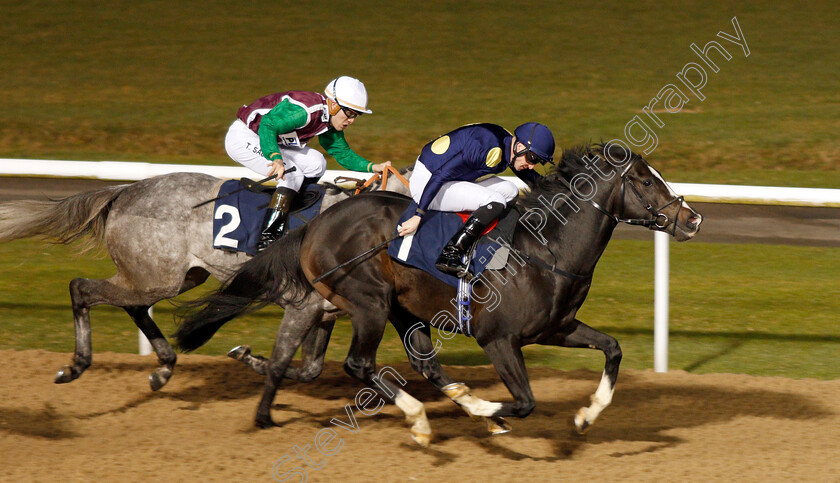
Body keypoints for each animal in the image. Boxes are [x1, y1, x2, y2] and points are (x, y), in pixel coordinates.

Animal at [0, 169, 410, 390]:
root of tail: (123, 191)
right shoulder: (311, 303)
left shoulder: (325, 310)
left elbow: (311, 369)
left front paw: (251, 358)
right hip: (157, 275)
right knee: (81, 288)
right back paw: (76, 364)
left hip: (173, 276)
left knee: (134, 304)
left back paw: (164, 366)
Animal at [176, 145, 704, 446]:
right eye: (644, 180)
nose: (693, 218)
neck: (545, 249)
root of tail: (316, 224)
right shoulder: (499, 339)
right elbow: (524, 400)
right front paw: (489, 412)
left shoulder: (556, 328)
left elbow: (613, 349)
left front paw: (586, 415)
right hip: (370, 301)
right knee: (360, 364)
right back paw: (422, 418)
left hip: (404, 308)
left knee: (422, 363)